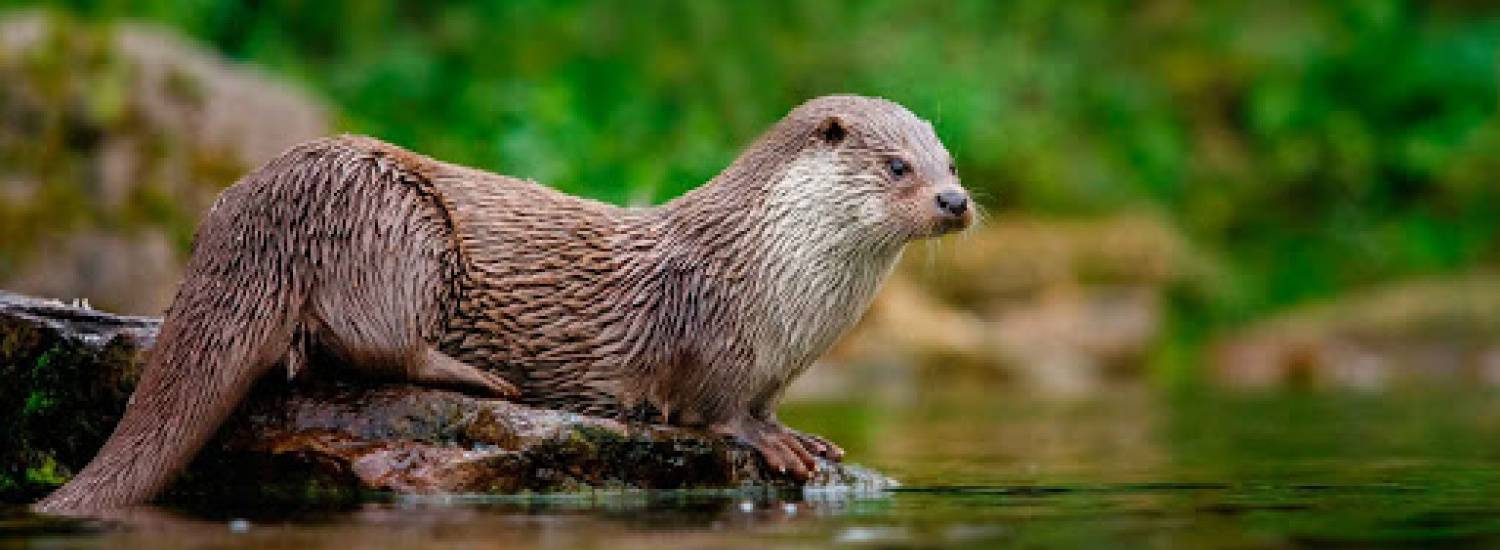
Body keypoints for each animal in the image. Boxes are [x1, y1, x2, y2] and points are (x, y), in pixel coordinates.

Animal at [38, 95, 972, 515]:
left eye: (950, 161)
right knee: (376, 342)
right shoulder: (705, 334)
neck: (773, 282)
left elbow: (768, 404)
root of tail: (247, 205)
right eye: (897, 166)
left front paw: (806, 433)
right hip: (391, 221)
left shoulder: (775, 362)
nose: (955, 201)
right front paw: (773, 443)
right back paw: (481, 379)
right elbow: (714, 410)